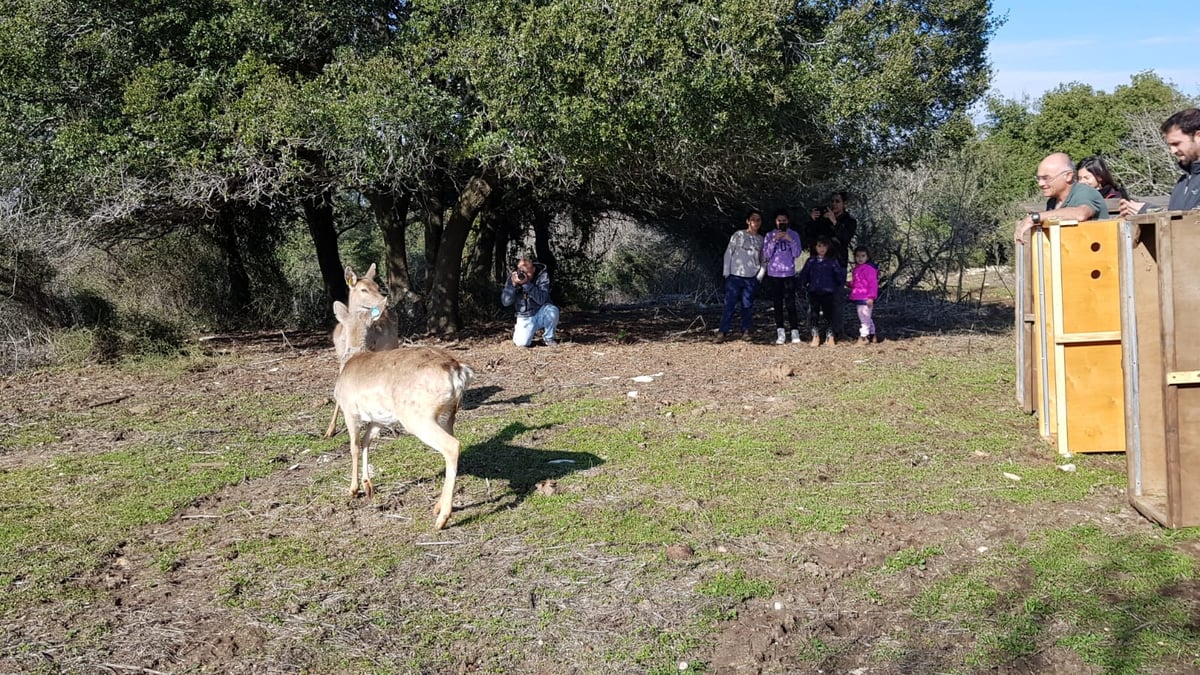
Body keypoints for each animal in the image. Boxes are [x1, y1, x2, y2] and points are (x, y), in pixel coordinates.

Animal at [324, 263, 398, 437]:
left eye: (377, 286)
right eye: (363, 289)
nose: (385, 302)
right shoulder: (341, 357)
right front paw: (330, 430)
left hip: (393, 344)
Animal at [333, 299, 477, 526]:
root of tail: (459, 372)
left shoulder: (349, 410)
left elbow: (354, 446)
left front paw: (353, 490)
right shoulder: (378, 419)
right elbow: (366, 441)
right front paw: (368, 486)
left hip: (417, 416)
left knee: (452, 446)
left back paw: (442, 518)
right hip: (448, 415)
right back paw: (438, 507)